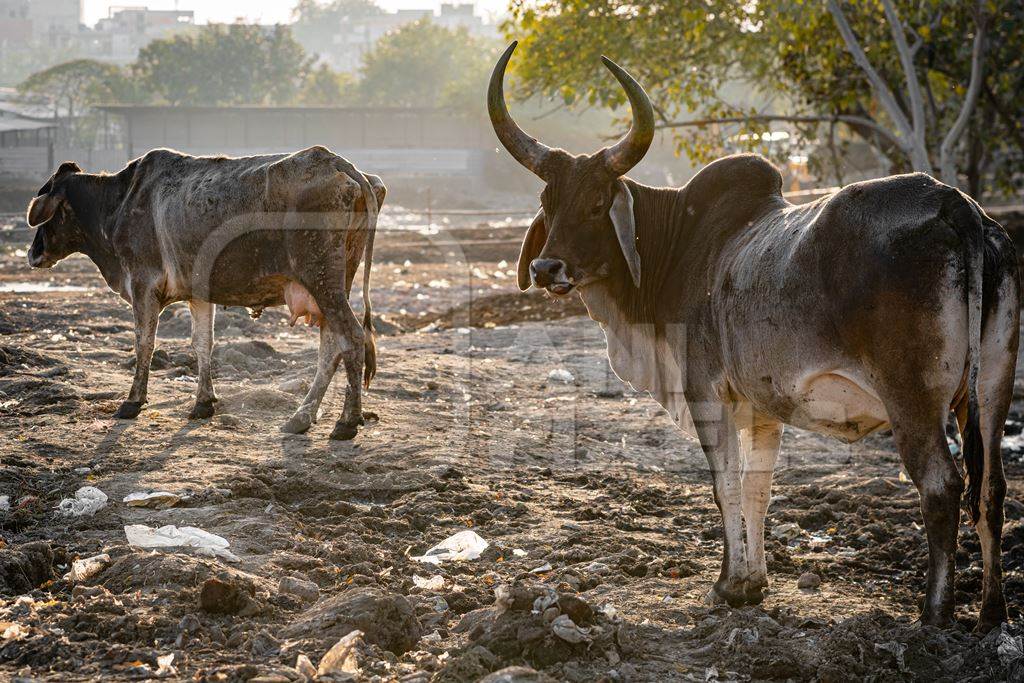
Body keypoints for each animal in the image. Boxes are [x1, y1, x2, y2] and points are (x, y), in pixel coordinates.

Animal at [29, 146, 387, 440]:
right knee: (332, 345)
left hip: (322, 281)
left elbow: (144, 344)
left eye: (48, 211)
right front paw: (203, 403)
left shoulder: (143, 285)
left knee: (351, 338)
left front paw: (133, 401)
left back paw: (346, 422)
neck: (118, 203)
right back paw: (301, 418)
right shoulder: (198, 293)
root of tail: (336, 161)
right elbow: (202, 343)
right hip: (333, 285)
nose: (33, 253)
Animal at [491, 41, 1019, 630]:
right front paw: (754, 582)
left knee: (942, 486)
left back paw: (934, 613)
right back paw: (992, 611)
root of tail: (957, 205)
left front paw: (729, 585)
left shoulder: (705, 393)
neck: (680, 244)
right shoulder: (764, 408)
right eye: (548, 202)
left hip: (913, 401)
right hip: (991, 390)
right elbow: (756, 490)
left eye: (597, 202)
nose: (546, 269)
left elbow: (724, 486)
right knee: (991, 490)